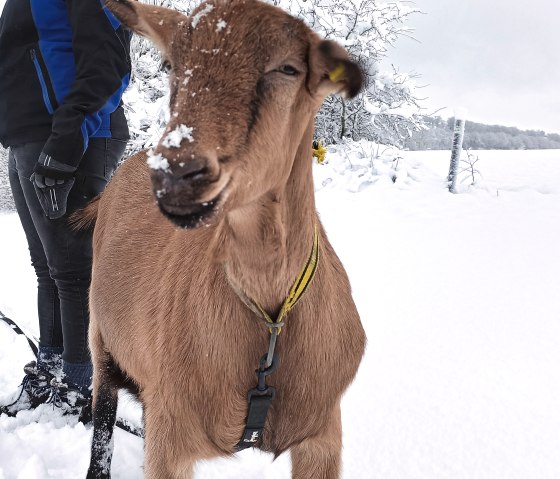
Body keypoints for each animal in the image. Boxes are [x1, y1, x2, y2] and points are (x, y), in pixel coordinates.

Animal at [86, 0, 368, 478]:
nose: (177, 172)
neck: (270, 321)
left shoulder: (323, 431)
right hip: (101, 339)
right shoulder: (170, 432)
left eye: (289, 68)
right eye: (171, 64)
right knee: (102, 419)